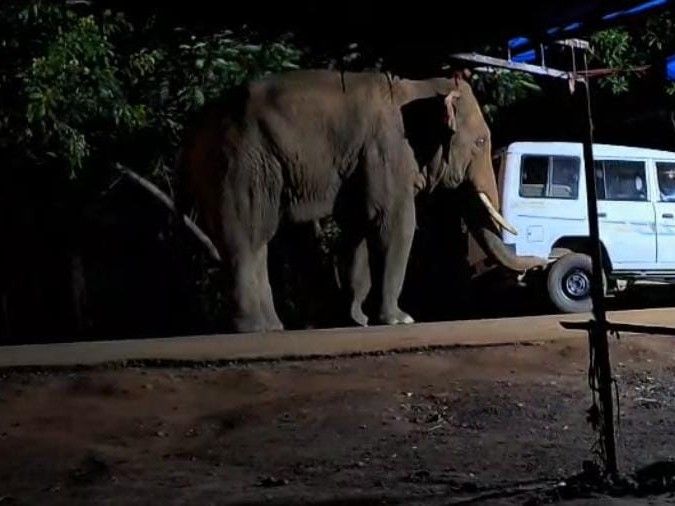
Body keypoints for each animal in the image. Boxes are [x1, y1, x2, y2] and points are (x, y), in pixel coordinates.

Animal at [177, 69, 543, 333]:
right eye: (480, 142)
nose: (540, 264)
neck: (418, 87)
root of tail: (193, 128)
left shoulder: (361, 163)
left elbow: (359, 229)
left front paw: (357, 321)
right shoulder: (386, 150)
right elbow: (395, 222)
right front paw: (400, 320)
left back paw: (273, 327)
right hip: (241, 164)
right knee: (250, 237)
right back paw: (256, 329)